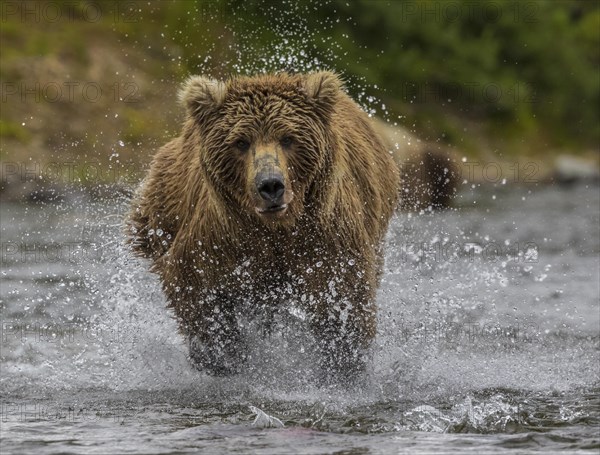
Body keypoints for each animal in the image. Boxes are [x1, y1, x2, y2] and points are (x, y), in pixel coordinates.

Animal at [127, 72, 398, 384]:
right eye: (241, 142)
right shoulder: (222, 241)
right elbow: (200, 293)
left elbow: (342, 300)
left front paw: (342, 367)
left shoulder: (325, 235)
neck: (276, 228)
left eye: (288, 137)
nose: (270, 185)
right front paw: (224, 360)